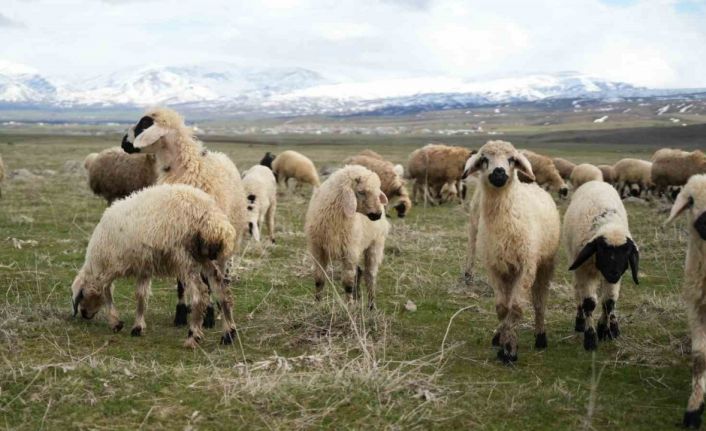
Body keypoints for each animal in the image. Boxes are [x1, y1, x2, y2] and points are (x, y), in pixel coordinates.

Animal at [71, 184, 237, 348]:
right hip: (203, 256)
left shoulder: (111, 267)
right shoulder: (143, 266)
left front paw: (115, 322)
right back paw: (229, 334)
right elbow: (140, 294)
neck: (97, 264)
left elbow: (107, 293)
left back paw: (193, 337)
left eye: (81, 296)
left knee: (200, 294)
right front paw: (137, 327)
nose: (84, 314)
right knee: (221, 289)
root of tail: (213, 221)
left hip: (183, 256)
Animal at [121, 107, 247, 329]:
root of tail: (221, 155)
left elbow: (207, 280)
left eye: (144, 124)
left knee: (222, 273)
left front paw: (208, 316)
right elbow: (180, 281)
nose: (123, 142)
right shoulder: (175, 234)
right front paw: (180, 313)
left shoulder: (205, 237)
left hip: (226, 240)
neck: (186, 168)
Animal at [305, 165, 390, 309]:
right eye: (361, 192)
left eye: (376, 192)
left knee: (370, 276)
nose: (377, 214)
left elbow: (348, 283)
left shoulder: (349, 251)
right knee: (359, 272)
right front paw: (317, 303)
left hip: (375, 244)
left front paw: (349, 306)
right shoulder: (318, 249)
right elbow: (319, 279)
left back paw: (371, 306)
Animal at [462, 140, 561, 363]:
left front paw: (509, 351)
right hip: (508, 270)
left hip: (545, 264)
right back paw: (499, 335)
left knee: (540, 301)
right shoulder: (495, 267)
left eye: (512, 159)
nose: (499, 172)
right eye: (484, 159)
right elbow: (502, 307)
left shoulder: (527, 265)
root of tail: (533, 185)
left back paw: (540, 336)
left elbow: (516, 308)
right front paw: (502, 343)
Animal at [563, 181, 639, 351]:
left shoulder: (614, 278)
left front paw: (604, 330)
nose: (613, 273)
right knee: (578, 292)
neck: (608, 225)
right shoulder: (584, 270)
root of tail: (595, 181)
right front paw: (590, 337)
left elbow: (609, 302)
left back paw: (614, 325)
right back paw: (580, 321)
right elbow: (589, 303)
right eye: (602, 249)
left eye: (626, 252)